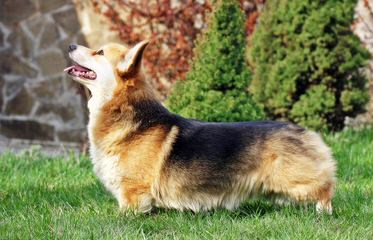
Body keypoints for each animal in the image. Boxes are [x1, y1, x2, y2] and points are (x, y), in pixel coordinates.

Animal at [65, 40, 336, 214]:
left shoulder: (133, 190)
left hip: (298, 182)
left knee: (326, 187)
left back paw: (324, 211)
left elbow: (126, 212)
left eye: (99, 51)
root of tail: (304, 131)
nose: (70, 46)